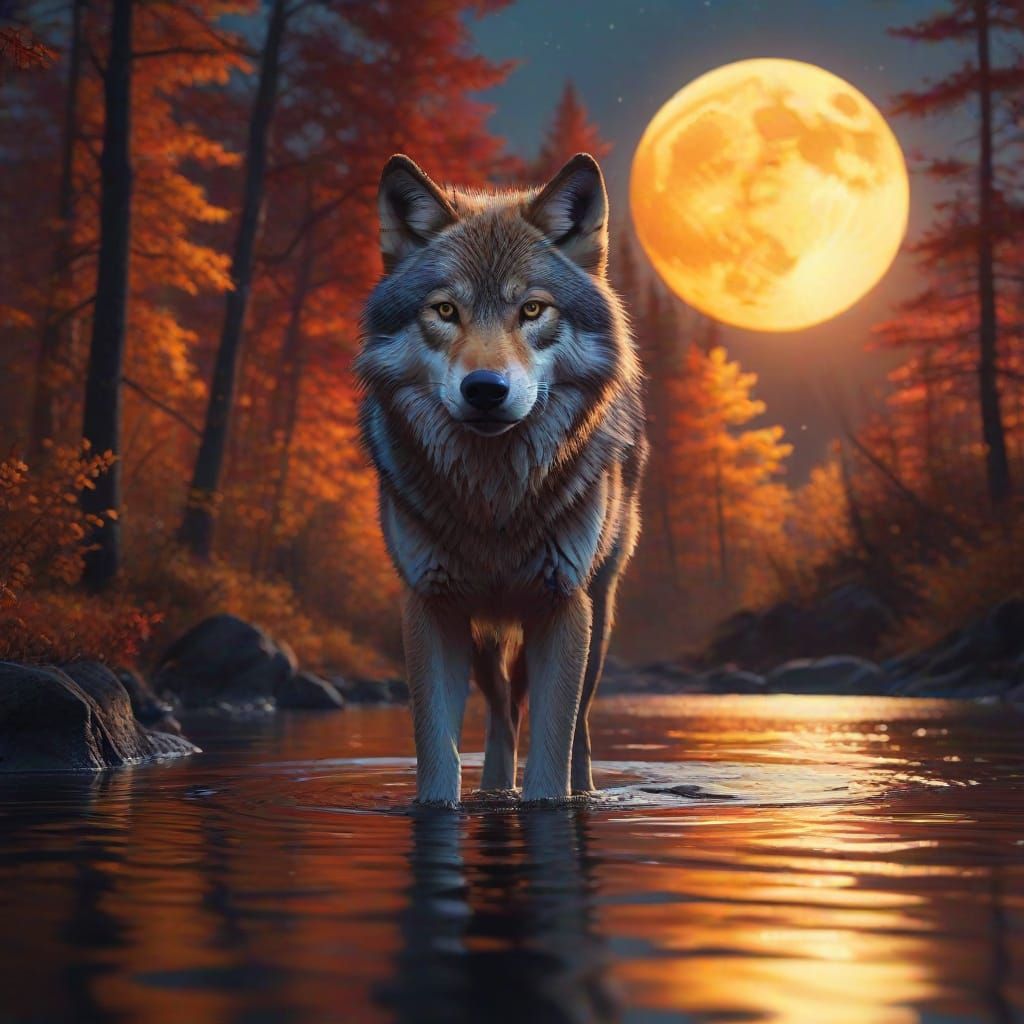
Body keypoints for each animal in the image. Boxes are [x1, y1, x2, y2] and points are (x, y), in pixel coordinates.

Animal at [356, 152, 647, 805]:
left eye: (532, 309)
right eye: (445, 310)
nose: (485, 389)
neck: (496, 505)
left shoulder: (563, 606)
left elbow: (551, 764)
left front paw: (555, 800)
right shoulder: (430, 607)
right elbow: (437, 759)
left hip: (599, 615)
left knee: (578, 726)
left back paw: (587, 792)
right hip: (486, 637)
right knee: (503, 715)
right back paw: (493, 792)